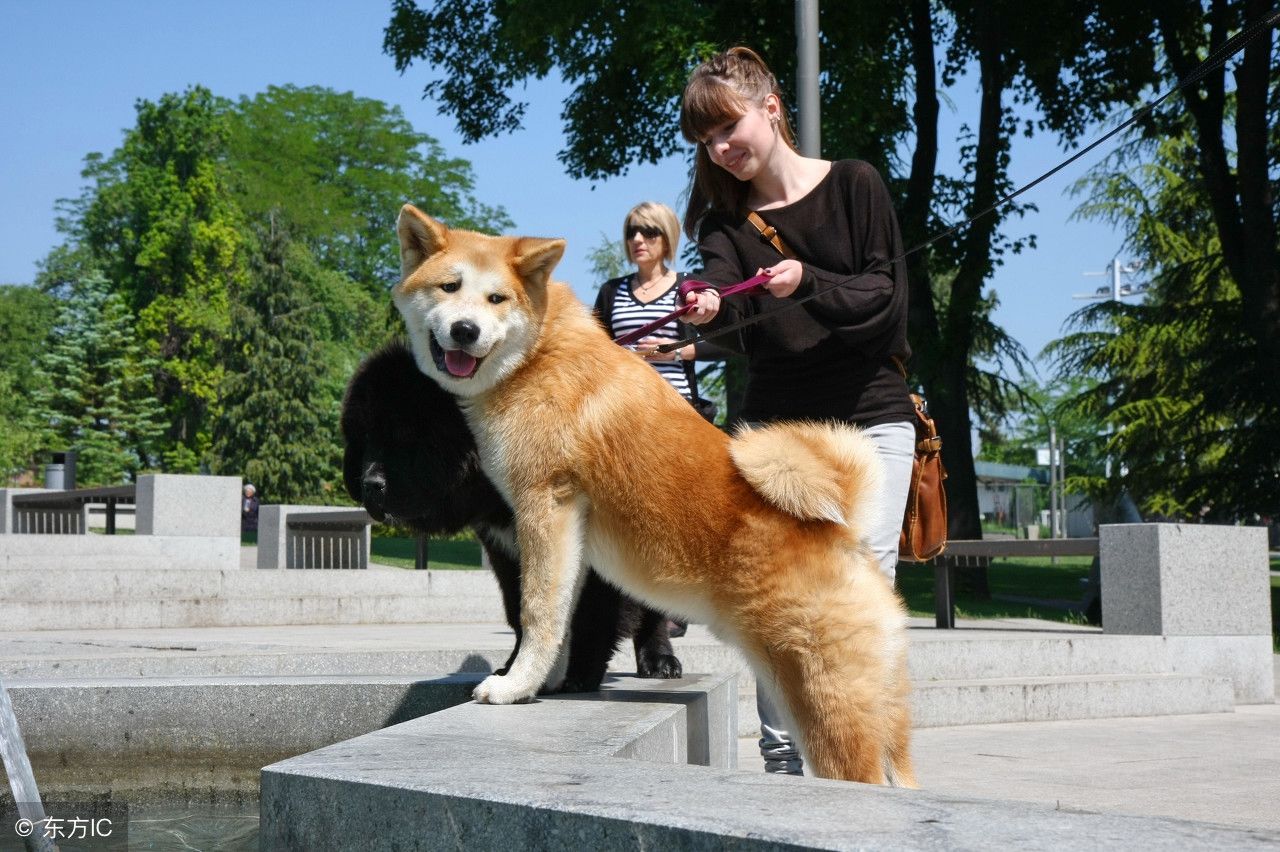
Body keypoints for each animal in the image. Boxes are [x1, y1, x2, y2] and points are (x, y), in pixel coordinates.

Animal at [340, 340, 680, 690]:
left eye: (405, 436)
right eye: (364, 440)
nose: (370, 484)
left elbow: (592, 616)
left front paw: (578, 674)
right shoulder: (504, 549)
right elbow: (522, 610)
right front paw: (514, 669)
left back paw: (660, 661)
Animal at [394, 205, 916, 782]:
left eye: (496, 299)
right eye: (449, 286)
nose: (465, 330)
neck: (537, 356)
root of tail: (843, 532)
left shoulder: (544, 506)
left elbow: (538, 613)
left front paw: (514, 686)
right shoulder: (566, 532)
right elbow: (563, 614)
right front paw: (546, 683)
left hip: (824, 705)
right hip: (878, 712)